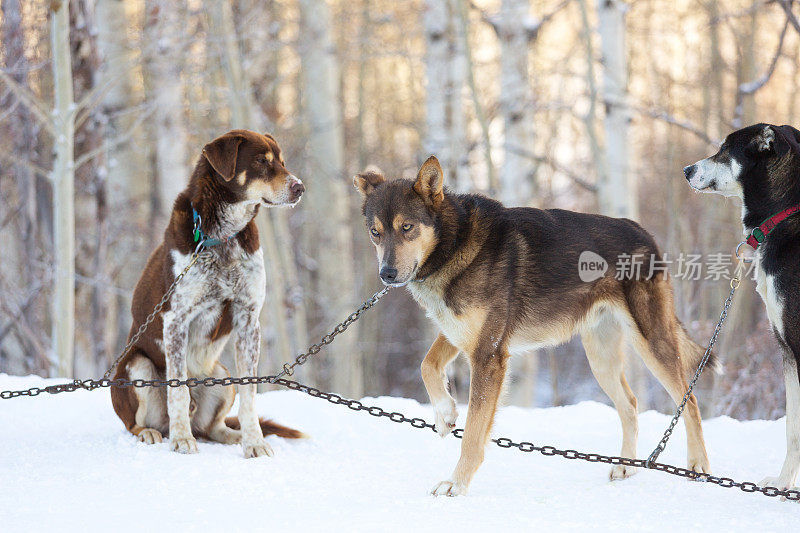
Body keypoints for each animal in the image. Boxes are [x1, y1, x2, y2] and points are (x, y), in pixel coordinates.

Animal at [114, 130, 308, 458]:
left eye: (282, 162)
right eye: (261, 161)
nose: (300, 188)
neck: (222, 237)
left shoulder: (248, 319)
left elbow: (249, 393)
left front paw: (254, 442)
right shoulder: (175, 320)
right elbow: (178, 389)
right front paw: (181, 440)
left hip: (221, 376)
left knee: (212, 427)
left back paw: (233, 435)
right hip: (136, 366)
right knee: (135, 423)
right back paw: (154, 433)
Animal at [356, 157, 712, 494]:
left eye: (407, 227)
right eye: (375, 232)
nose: (386, 274)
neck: (455, 242)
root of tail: (644, 233)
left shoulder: (488, 356)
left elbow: (473, 433)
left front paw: (456, 484)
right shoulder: (462, 335)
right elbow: (426, 364)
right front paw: (444, 414)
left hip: (651, 341)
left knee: (690, 401)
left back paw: (698, 466)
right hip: (601, 359)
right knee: (630, 404)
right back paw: (626, 466)